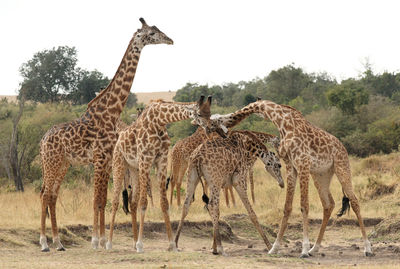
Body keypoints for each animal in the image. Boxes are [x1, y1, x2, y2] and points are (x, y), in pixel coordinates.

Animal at [38, 18, 173, 251]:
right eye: (152, 33)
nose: (170, 40)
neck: (111, 112)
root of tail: (43, 140)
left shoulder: (108, 160)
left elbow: (103, 198)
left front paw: (102, 240)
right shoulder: (100, 158)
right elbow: (97, 200)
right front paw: (95, 241)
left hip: (63, 164)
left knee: (52, 195)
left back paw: (59, 242)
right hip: (52, 162)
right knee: (45, 194)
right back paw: (45, 243)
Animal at [105, 96, 212, 251]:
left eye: (210, 113)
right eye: (199, 114)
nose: (210, 129)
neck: (160, 120)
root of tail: (119, 139)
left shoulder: (161, 161)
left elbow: (164, 203)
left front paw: (172, 244)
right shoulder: (146, 159)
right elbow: (144, 202)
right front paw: (141, 245)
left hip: (134, 169)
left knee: (132, 202)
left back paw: (133, 242)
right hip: (119, 164)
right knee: (115, 201)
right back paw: (109, 243)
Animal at [208, 99, 374, 256]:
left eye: (214, 122)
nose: (223, 134)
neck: (282, 122)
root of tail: (343, 147)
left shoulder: (303, 163)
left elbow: (304, 205)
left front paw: (303, 250)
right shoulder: (291, 166)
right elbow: (287, 207)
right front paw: (274, 248)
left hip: (341, 167)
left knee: (354, 201)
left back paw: (367, 249)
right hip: (321, 175)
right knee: (328, 204)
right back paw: (315, 248)